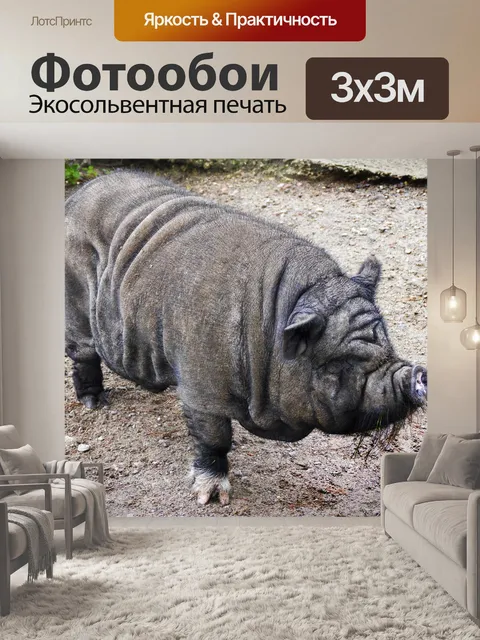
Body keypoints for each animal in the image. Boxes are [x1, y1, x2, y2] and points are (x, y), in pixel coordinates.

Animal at [65, 171, 427, 505]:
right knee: (82, 351)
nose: (418, 373)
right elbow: (214, 437)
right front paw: (212, 498)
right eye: (341, 361)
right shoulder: (201, 383)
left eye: (386, 340)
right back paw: (95, 403)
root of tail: (78, 195)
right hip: (75, 297)